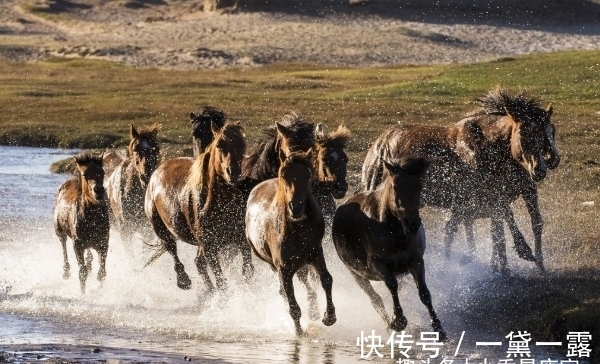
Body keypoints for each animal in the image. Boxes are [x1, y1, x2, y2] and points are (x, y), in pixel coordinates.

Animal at [53, 153, 109, 292]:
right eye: (85, 174)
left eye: (102, 172)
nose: (99, 190)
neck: (92, 219)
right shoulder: (78, 243)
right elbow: (82, 272)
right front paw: (83, 293)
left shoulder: (104, 242)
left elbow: (102, 273)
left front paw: (100, 290)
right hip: (59, 230)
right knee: (63, 244)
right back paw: (66, 272)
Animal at [145, 121, 246, 292]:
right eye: (219, 145)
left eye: (242, 144)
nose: (233, 172)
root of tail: (156, 172)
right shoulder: (209, 247)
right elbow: (222, 282)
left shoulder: (240, 239)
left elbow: (248, 271)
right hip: (161, 228)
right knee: (172, 249)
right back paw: (184, 280)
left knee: (198, 263)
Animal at [245, 149, 338, 336]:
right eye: (283, 174)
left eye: (308, 175)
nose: (296, 207)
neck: (297, 228)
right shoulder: (283, 268)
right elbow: (292, 303)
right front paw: (299, 332)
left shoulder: (316, 253)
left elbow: (326, 279)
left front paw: (329, 317)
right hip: (274, 265)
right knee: (284, 291)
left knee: (305, 281)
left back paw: (314, 311)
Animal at [332, 154, 446, 338]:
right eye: (395, 186)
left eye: (419, 186)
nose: (412, 224)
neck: (394, 232)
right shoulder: (377, 263)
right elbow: (392, 285)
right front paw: (398, 320)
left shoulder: (416, 261)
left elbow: (424, 293)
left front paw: (438, 328)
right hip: (355, 274)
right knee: (375, 299)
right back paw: (388, 325)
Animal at [358, 86, 556, 272]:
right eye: (523, 134)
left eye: (547, 134)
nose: (540, 169)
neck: (488, 147)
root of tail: (376, 147)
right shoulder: (491, 193)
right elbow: (504, 220)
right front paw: (523, 251)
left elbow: (506, 225)